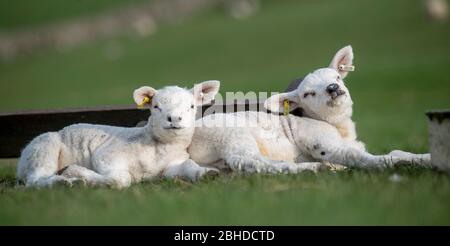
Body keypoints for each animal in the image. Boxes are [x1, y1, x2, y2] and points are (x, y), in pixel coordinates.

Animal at [16, 80, 221, 187]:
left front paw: (206, 172)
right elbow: (121, 179)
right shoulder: (106, 156)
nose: (174, 118)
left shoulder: (170, 167)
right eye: (156, 106)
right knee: (35, 180)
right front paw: (76, 172)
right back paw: (63, 182)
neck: (157, 148)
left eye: (192, 106)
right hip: (43, 149)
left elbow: (188, 165)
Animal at [188, 45, 430, 173]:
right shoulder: (321, 142)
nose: (333, 88)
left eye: (338, 77)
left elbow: (397, 151)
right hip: (230, 135)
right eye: (307, 94)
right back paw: (306, 169)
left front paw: (422, 157)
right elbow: (357, 156)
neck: (339, 128)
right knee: (248, 162)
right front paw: (394, 164)